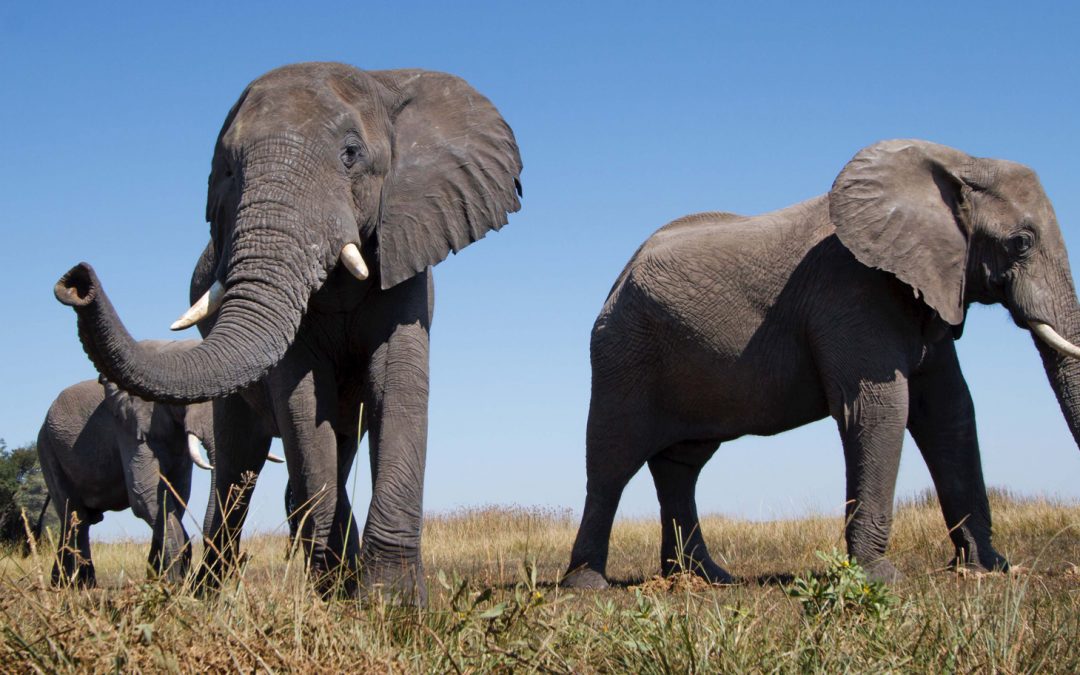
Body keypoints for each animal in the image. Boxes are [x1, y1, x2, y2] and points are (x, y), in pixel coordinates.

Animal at [55, 62, 522, 602]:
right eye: (227, 169)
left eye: (350, 154)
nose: (76, 281)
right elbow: (301, 404)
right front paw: (336, 592)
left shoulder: (407, 246)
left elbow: (398, 385)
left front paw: (392, 602)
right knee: (239, 463)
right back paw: (212, 594)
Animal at [561, 139, 1080, 589]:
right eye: (1021, 242)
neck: (957, 162)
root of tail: (620, 275)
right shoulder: (849, 291)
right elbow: (879, 409)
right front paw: (880, 579)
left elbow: (950, 413)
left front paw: (988, 569)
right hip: (623, 351)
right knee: (611, 461)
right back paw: (588, 584)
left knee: (681, 465)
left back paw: (707, 578)